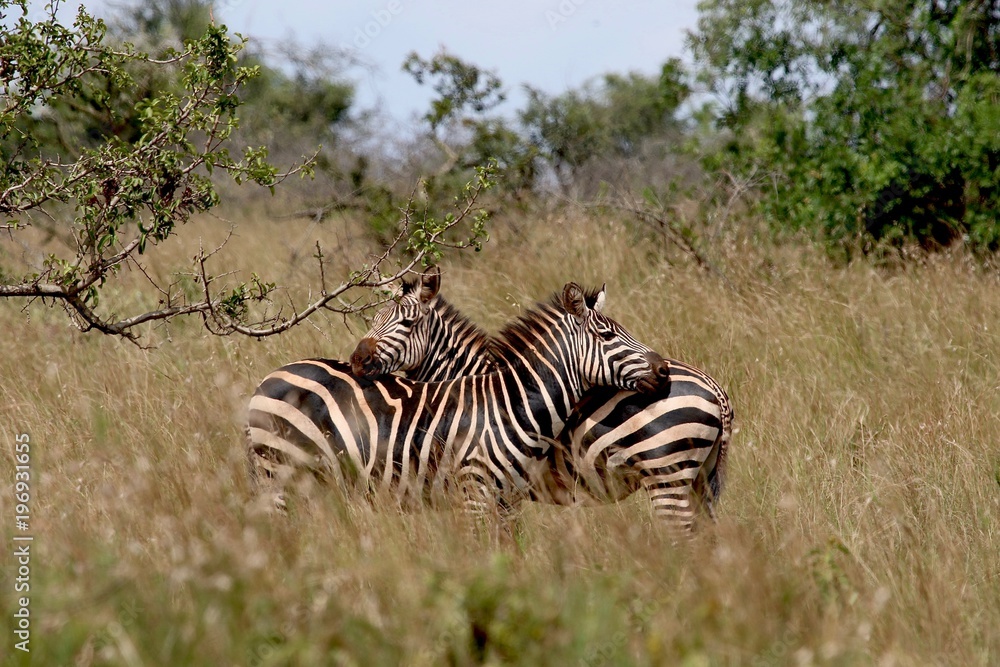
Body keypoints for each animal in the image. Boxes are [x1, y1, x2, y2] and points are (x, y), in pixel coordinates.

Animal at [245, 280, 669, 511]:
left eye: (406, 322)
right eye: (608, 335)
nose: (663, 369)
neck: (509, 400)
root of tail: (270, 377)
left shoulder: (503, 497)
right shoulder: (475, 492)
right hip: (280, 471)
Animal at [350, 276, 733, 533]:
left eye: (406, 323)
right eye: (374, 320)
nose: (356, 359)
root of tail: (714, 387)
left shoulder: (501, 490)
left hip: (667, 476)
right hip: (700, 480)